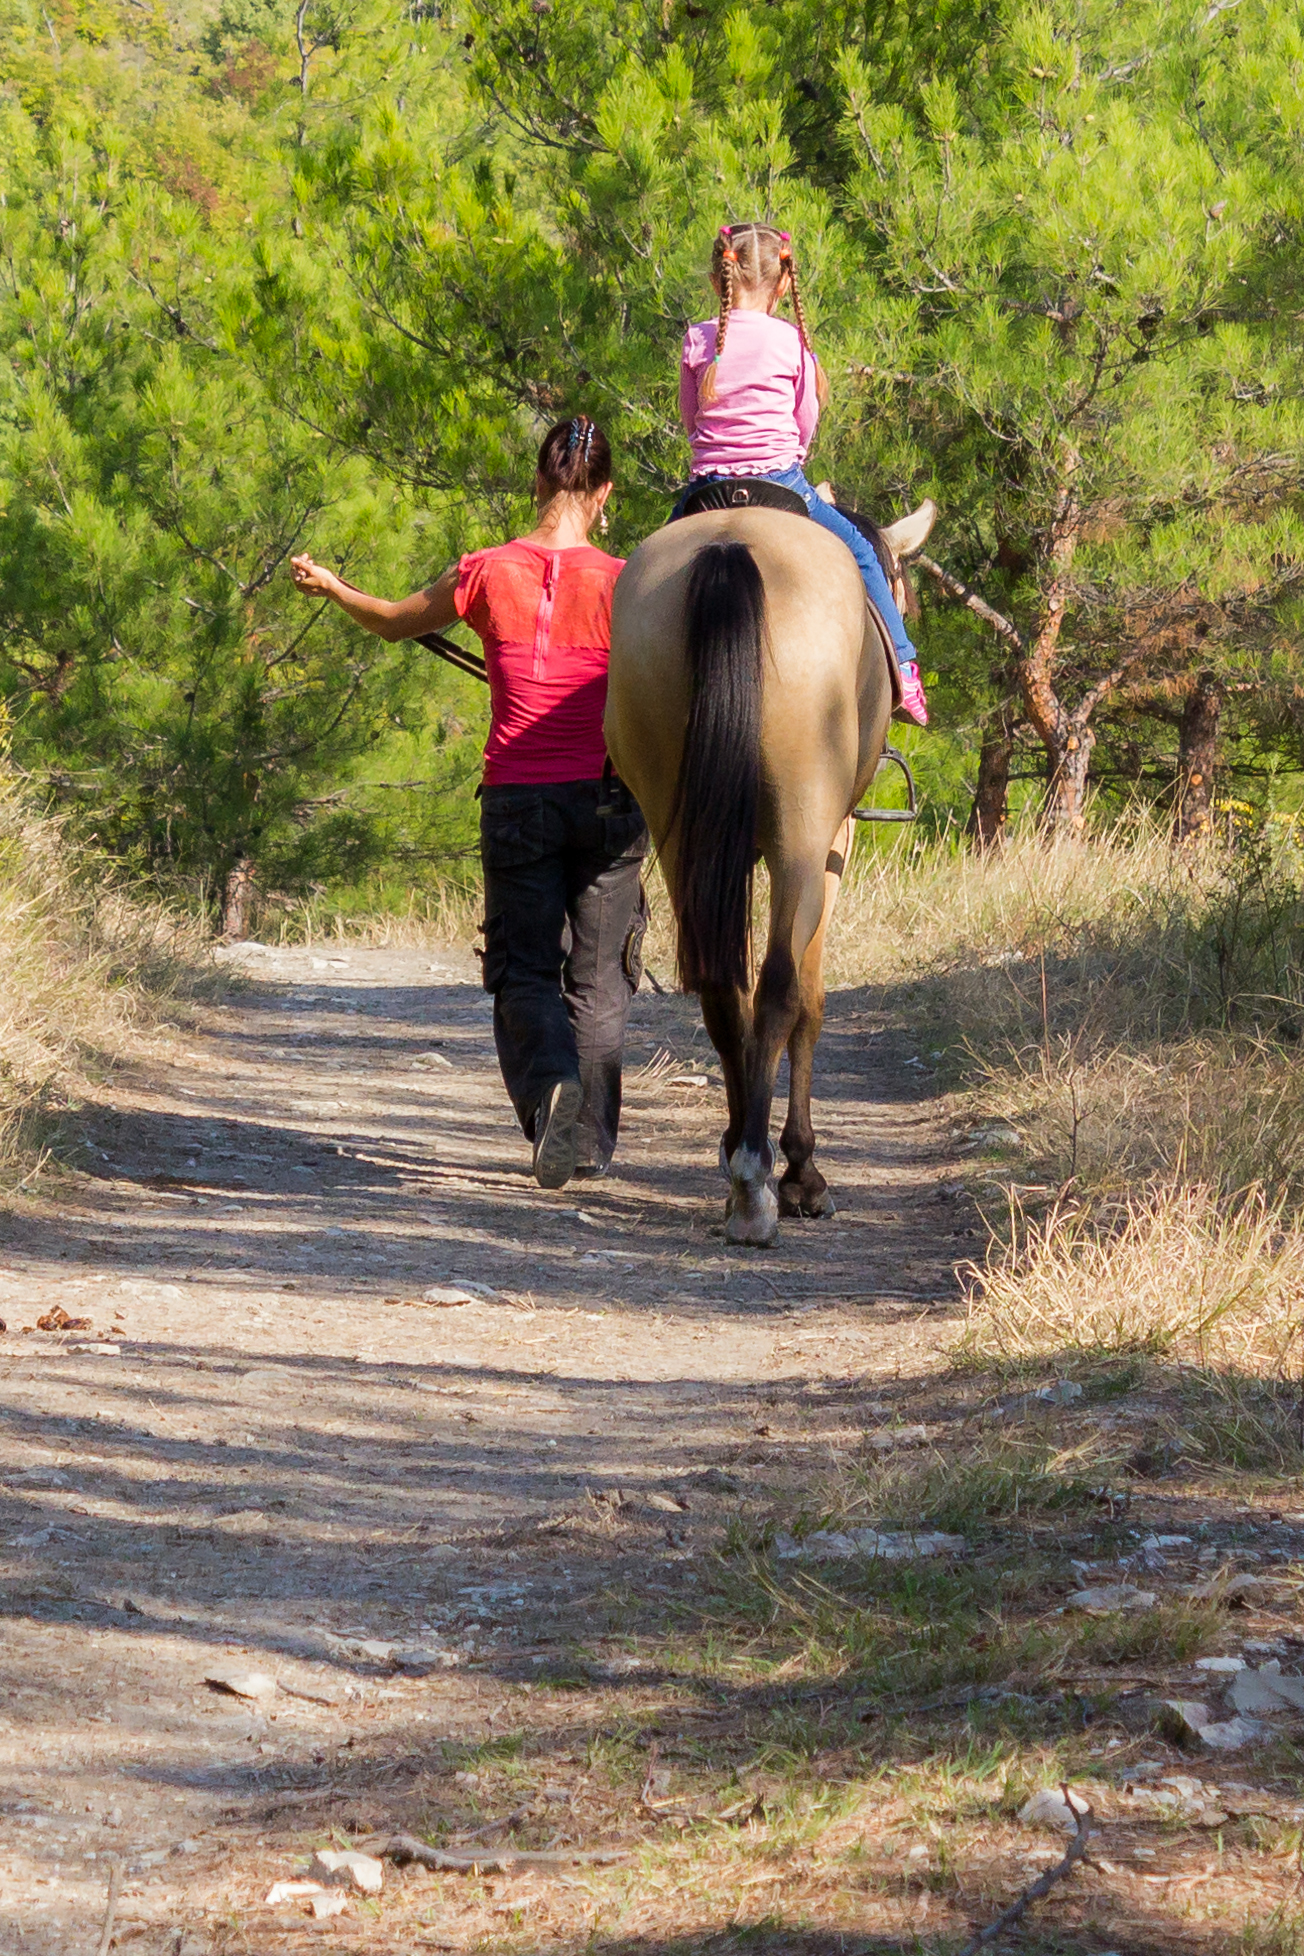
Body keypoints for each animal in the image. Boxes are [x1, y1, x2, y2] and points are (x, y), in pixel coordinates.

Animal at [606, 496, 934, 1244]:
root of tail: (731, 546)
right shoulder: (832, 848)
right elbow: (808, 999)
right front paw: (802, 1172)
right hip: (801, 840)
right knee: (781, 986)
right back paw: (760, 1181)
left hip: (682, 837)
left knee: (722, 991)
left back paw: (741, 1166)